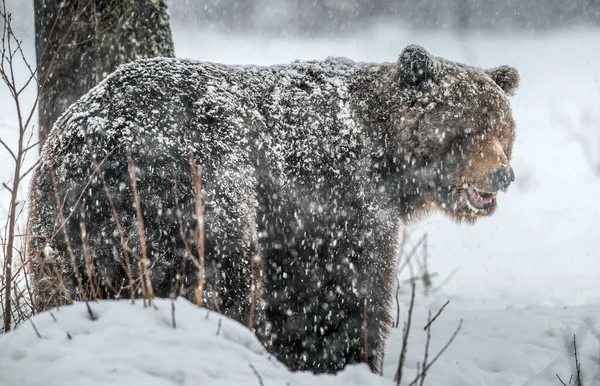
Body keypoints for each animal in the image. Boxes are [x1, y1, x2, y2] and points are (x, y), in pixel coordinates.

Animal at [27, 45, 516, 374]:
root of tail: (102, 145)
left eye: (503, 130)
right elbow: (343, 295)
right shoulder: (335, 202)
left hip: (61, 226)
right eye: (468, 130)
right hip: (195, 191)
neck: (389, 163)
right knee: (221, 278)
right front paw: (352, 360)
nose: (503, 176)